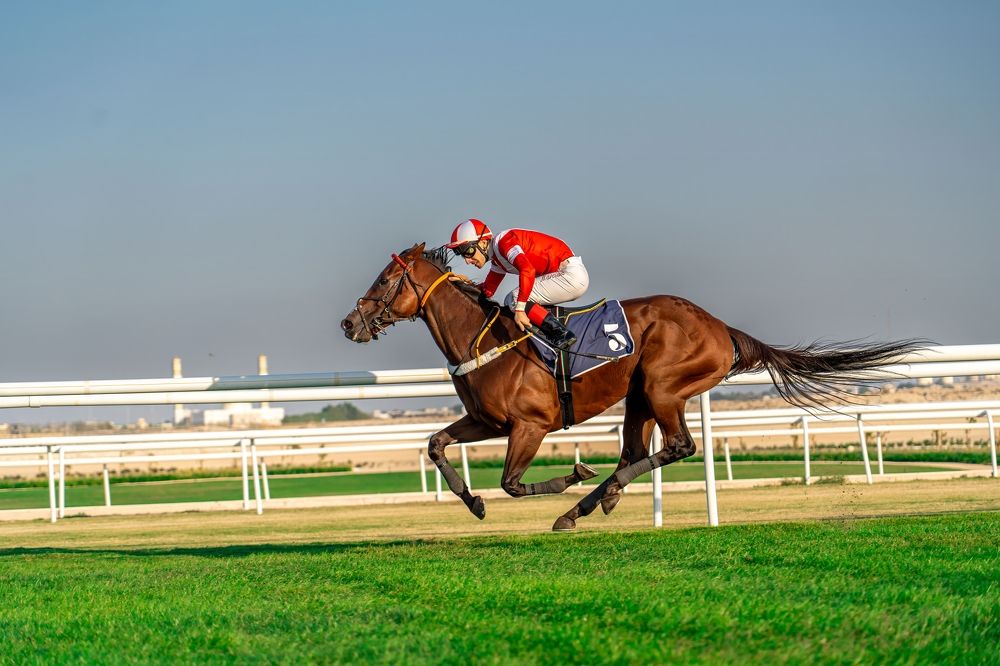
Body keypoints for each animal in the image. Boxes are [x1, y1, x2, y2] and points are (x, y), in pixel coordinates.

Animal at [340, 243, 924, 531]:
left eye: (384, 281)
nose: (350, 323)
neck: (484, 340)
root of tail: (721, 327)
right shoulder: (488, 421)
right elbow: (436, 444)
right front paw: (474, 503)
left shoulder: (530, 425)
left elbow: (512, 482)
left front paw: (568, 475)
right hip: (639, 397)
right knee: (636, 453)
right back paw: (590, 504)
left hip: (663, 386)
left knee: (677, 446)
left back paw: (591, 496)